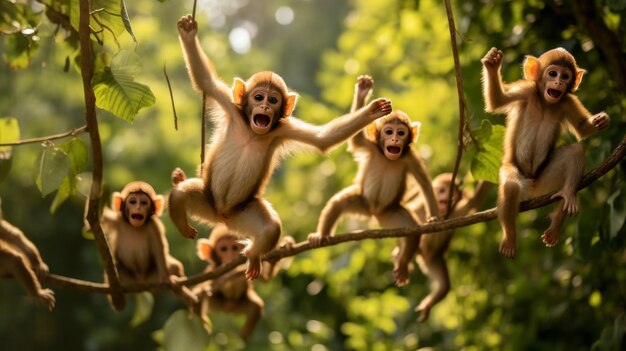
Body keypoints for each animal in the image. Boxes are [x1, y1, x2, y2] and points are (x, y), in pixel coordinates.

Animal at [98, 182, 196, 310]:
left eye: (144, 203)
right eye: (133, 202)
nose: (138, 208)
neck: (134, 227)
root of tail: (141, 281)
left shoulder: (154, 226)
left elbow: (159, 248)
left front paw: (167, 279)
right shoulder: (115, 220)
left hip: (153, 278)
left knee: (174, 266)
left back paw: (180, 292)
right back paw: (118, 300)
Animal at [402, 173, 490, 322]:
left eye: (451, 190)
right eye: (442, 190)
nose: (445, 196)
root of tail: (424, 258)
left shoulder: (456, 212)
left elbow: (475, 201)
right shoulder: (419, 205)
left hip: (434, 259)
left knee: (444, 286)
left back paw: (428, 305)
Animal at [480, 47, 608, 258]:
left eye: (566, 76)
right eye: (552, 73)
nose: (558, 83)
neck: (546, 103)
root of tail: (533, 187)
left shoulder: (567, 101)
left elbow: (582, 130)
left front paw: (602, 120)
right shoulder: (527, 90)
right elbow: (498, 100)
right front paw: (492, 63)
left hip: (546, 181)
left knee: (575, 151)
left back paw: (562, 208)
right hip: (515, 172)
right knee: (511, 187)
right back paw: (510, 238)